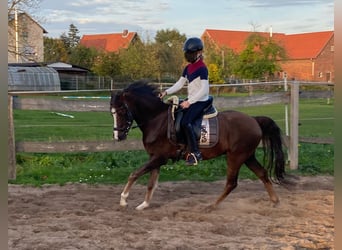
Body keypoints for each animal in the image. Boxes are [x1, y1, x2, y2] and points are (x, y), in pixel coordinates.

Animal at [109, 81, 286, 210]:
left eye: (122, 111)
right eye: (112, 112)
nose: (118, 136)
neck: (157, 120)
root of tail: (254, 120)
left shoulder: (160, 157)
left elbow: (134, 174)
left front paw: (123, 200)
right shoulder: (155, 158)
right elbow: (151, 183)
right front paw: (144, 204)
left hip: (236, 157)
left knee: (231, 183)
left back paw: (212, 206)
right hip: (247, 156)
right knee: (262, 173)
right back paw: (275, 201)